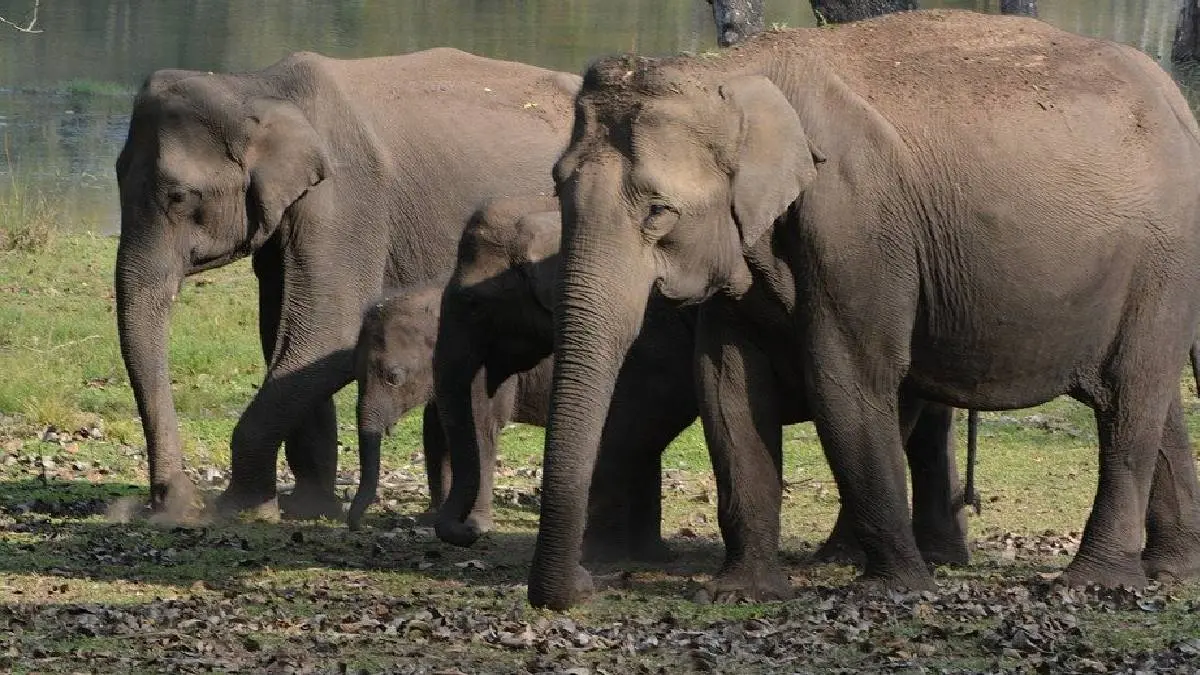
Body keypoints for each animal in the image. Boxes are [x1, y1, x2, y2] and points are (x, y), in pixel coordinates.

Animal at [113, 47, 579, 520]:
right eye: (117, 175)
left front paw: (241, 510)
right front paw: (309, 507)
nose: (171, 500)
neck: (259, 87)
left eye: (179, 196)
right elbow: (283, 334)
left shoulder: (346, 200)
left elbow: (326, 333)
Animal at [530, 9, 1200, 609]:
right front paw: (740, 593)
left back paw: (1093, 582)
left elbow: (846, 377)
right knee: (1156, 400)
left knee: (1130, 395)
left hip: (1163, 257)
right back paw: (1170, 570)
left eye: (658, 211)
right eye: (557, 187)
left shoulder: (856, 222)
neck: (731, 72)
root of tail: (1180, 104)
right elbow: (727, 386)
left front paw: (896, 588)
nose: (582, 589)